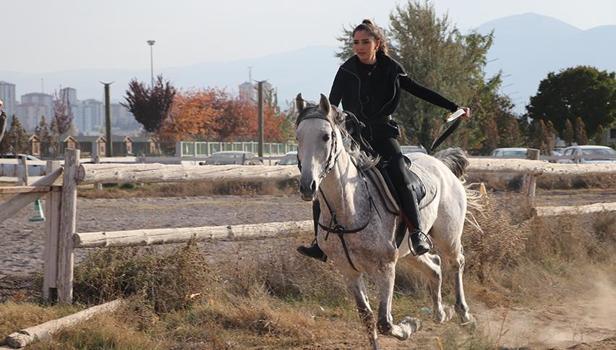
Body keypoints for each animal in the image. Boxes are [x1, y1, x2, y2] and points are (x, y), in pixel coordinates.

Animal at [296, 94, 474, 348]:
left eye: (326, 136)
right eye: (298, 137)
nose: (307, 186)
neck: (348, 209)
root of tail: (439, 162)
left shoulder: (386, 268)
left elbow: (385, 322)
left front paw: (411, 324)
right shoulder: (349, 271)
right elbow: (368, 318)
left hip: (448, 236)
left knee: (456, 262)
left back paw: (463, 314)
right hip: (409, 251)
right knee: (435, 265)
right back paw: (441, 313)